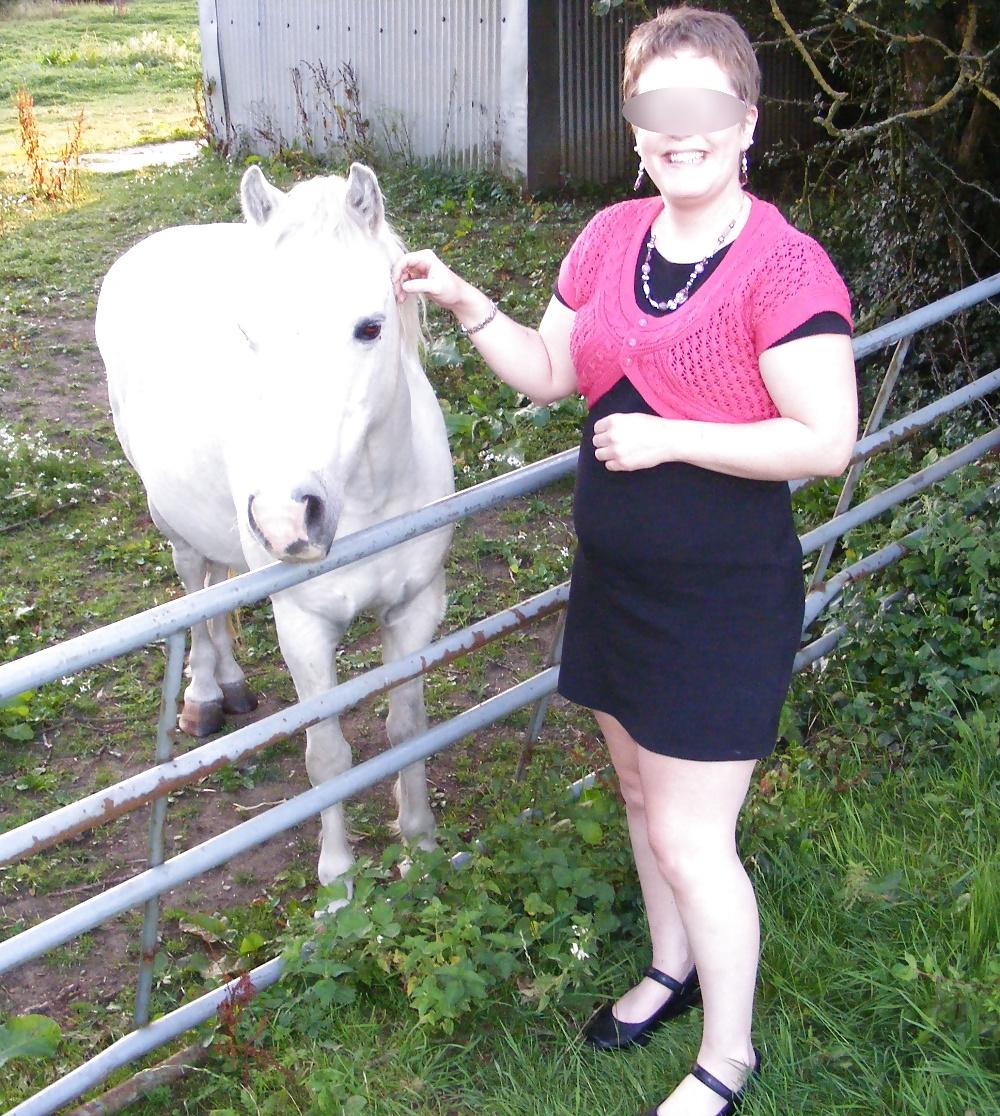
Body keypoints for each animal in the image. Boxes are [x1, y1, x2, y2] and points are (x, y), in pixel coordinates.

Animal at [95, 163, 455, 892]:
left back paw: (231, 686)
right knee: (199, 597)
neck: (369, 497)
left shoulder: (413, 609)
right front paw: (338, 885)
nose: (287, 516)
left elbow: (407, 728)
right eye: (249, 334)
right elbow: (329, 757)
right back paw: (206, 694)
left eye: (370, 327)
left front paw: (420, 848)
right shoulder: (304, 628)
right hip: (177, 531)